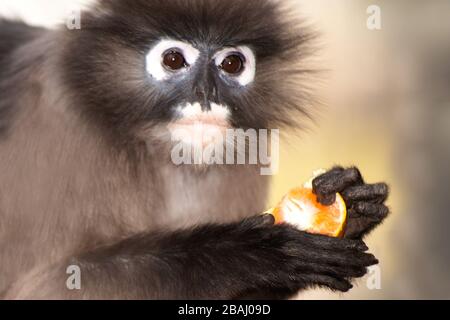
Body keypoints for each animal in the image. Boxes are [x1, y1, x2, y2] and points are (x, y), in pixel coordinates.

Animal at [0, 0, 386, 300]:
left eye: (232, 64)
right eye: (173, 59)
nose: (205, 95)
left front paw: (353, 208)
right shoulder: (58, 123)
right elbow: (44, 285)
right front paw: (252, 252)